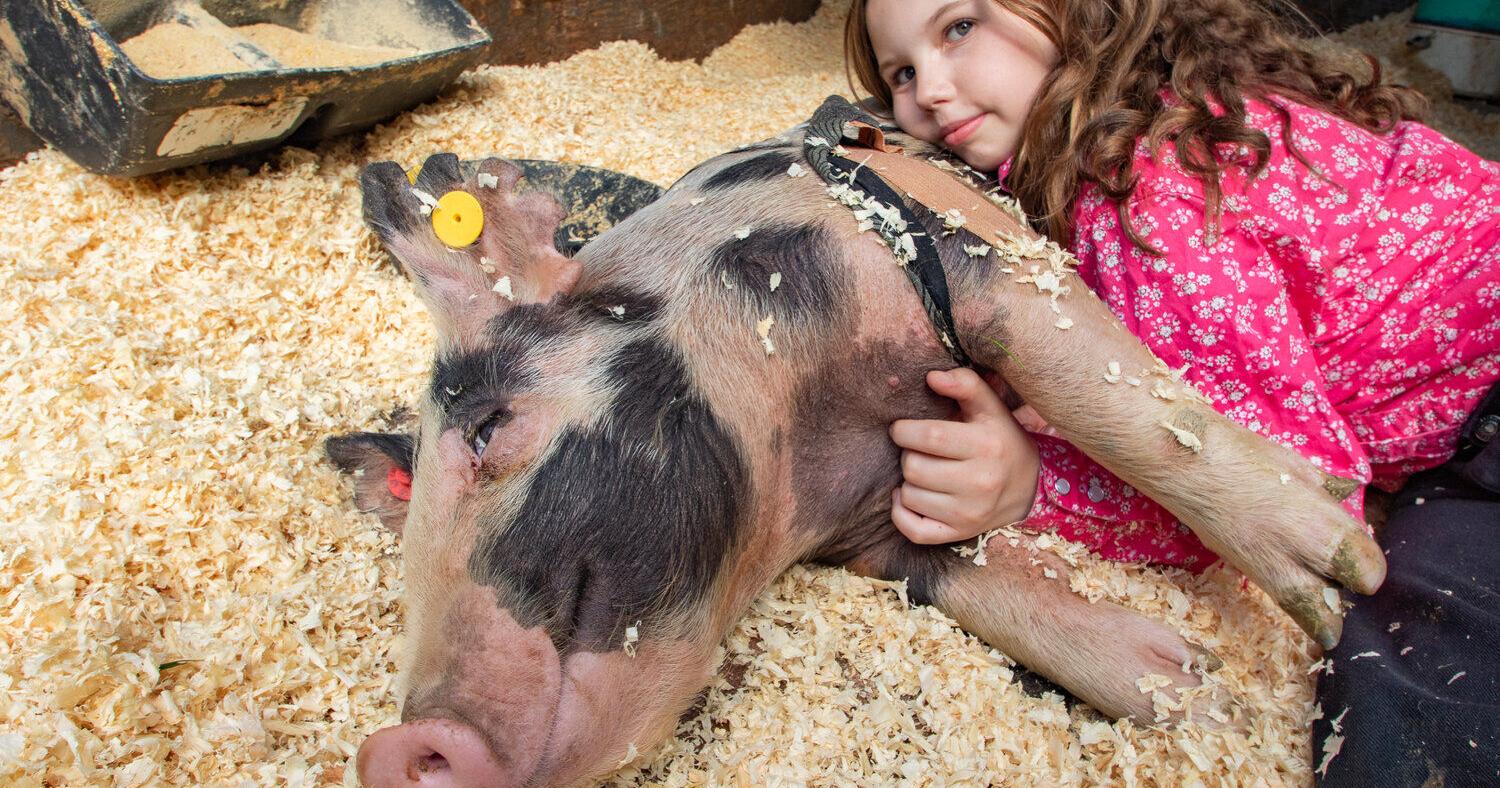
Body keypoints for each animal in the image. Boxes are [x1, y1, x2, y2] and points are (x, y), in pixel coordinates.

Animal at [328, 123, 1386, 786]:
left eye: (488, 427)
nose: (391, 752)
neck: (814, 446)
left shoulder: (980, 270)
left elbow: (1119, 404)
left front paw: (1341, 590)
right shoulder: (888, 531)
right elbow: (1004, 595)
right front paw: (1213, 704)